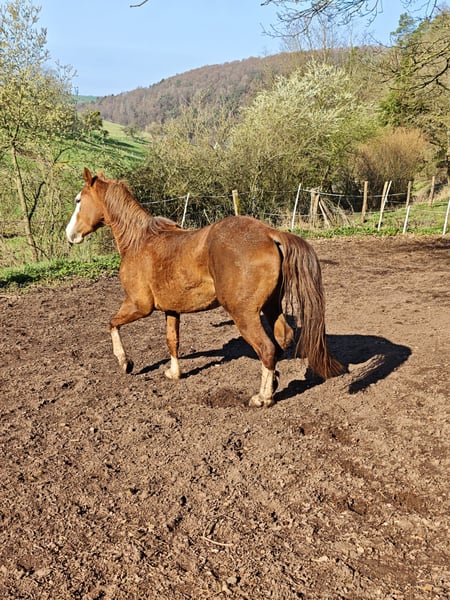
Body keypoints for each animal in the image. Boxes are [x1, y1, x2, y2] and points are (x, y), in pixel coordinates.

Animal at [66, 168, 345, 407]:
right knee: (281, 340)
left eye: (78, 200)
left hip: (244, 313)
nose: (69, 235)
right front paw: (174, 373)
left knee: (267, 348)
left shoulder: (139, 305)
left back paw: (262, 397)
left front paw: (125, 362)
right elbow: (172, 340)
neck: (139, 241)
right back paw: (274, 383)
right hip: (271, 306)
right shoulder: (171, 309)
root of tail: (269, 233)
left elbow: (112, 323)